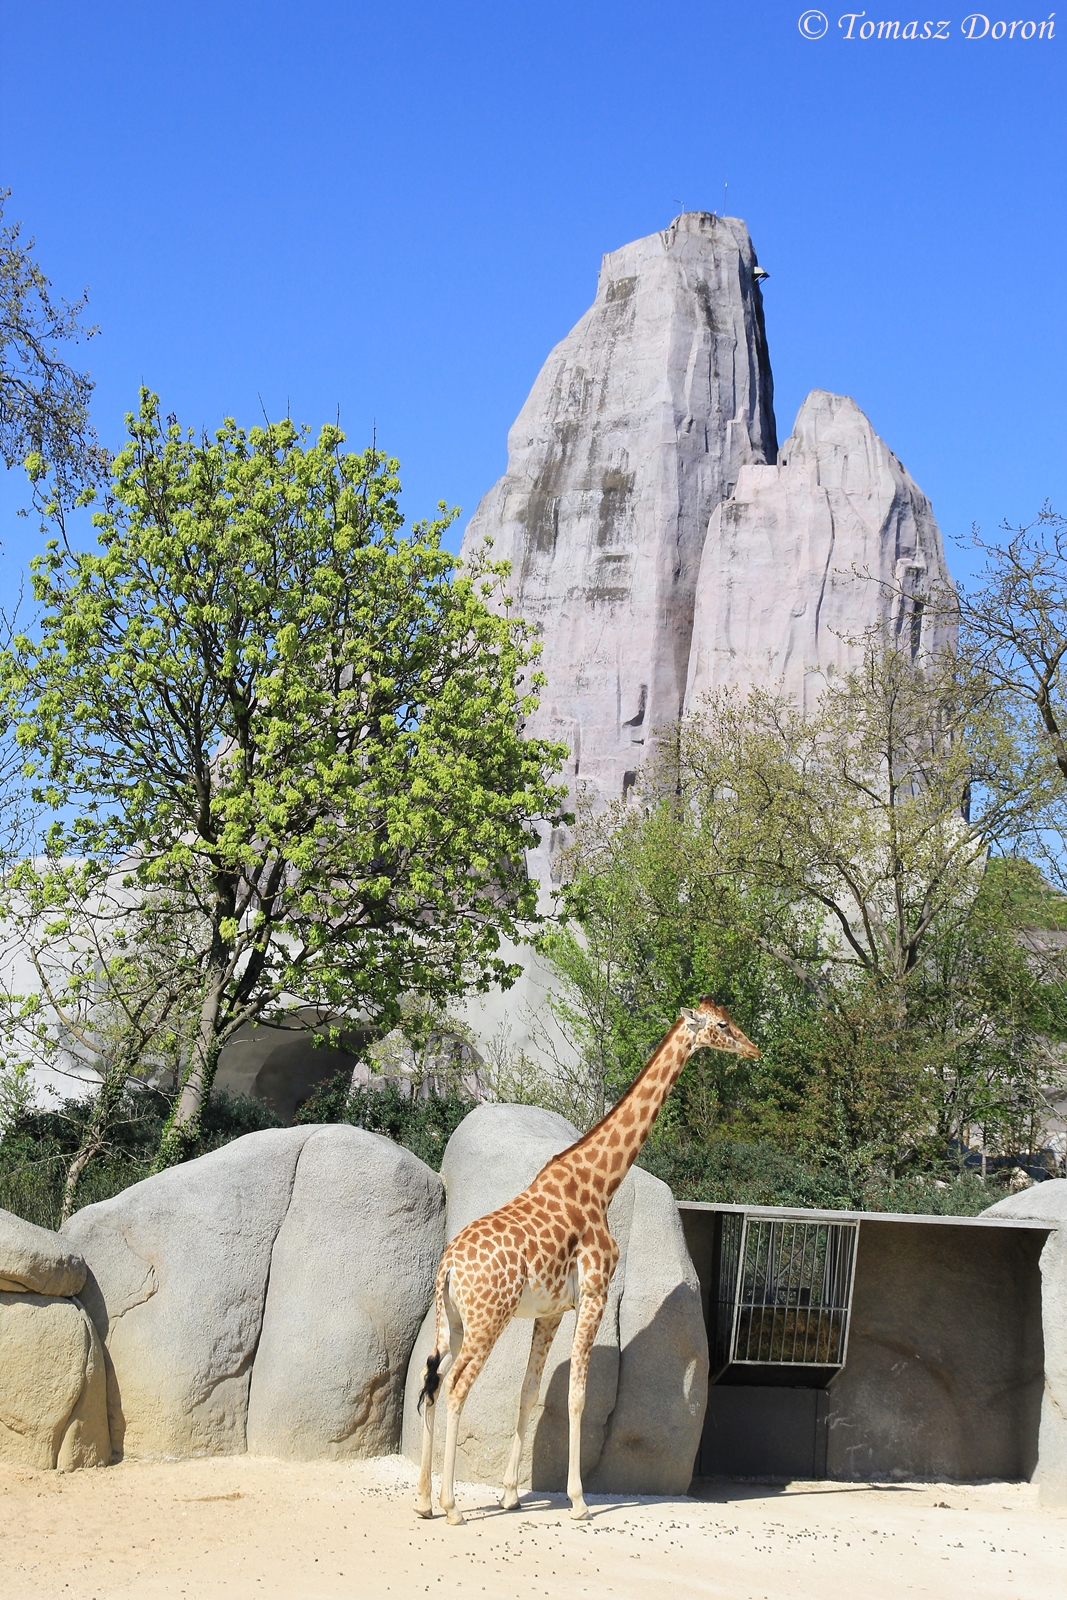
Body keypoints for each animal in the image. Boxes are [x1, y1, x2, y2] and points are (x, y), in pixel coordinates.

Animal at [415, 995, 759, 1524]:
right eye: (722, 1025)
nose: (755, 1049)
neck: (601, 1183)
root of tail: (448, 1266)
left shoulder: (551, 1311)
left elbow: (530, 1391)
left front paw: (511, 1494)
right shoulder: (595, 1294)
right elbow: (577, 1397)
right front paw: (578, 1501)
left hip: (451, 1321)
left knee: (430, 1380)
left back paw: (422, 1501)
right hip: (487, 1321)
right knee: (455, 1387)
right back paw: (451, 1506)